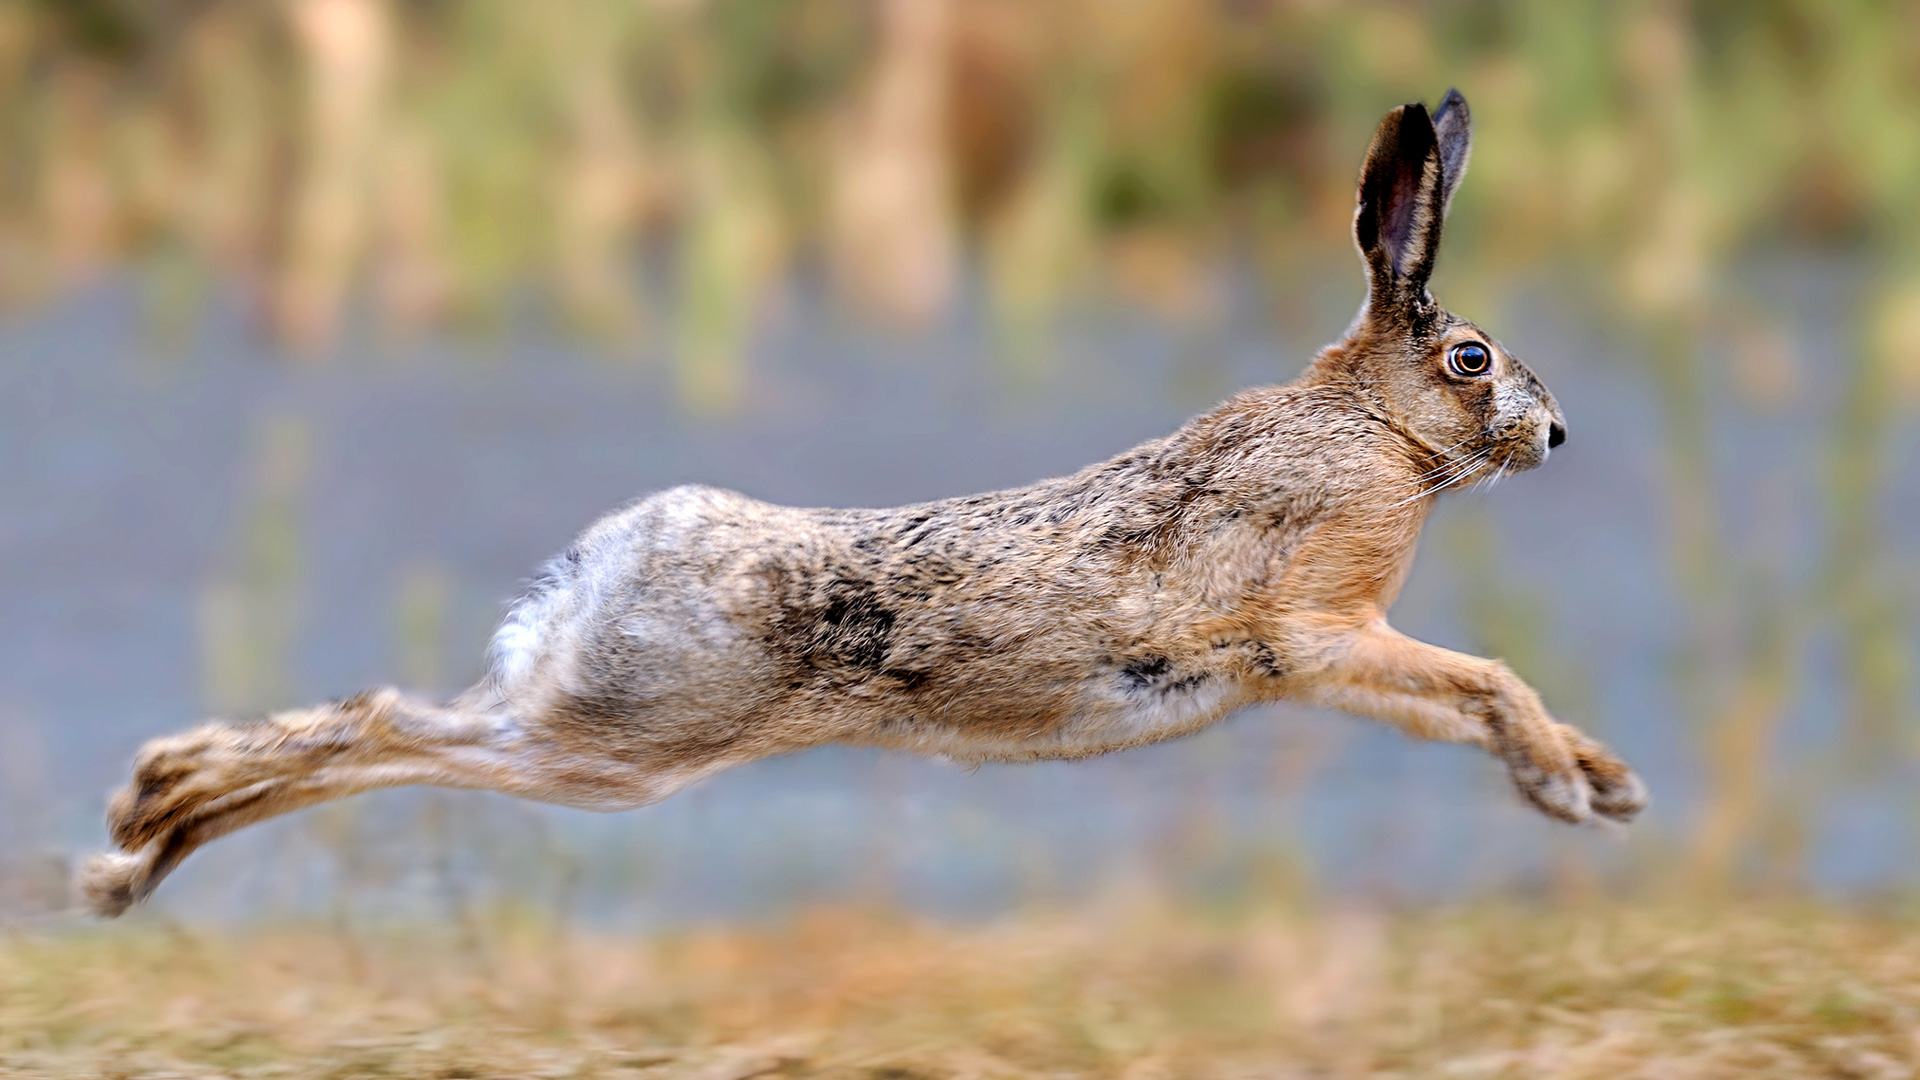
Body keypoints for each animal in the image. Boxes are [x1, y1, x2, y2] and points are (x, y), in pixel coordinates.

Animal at [80, 89, 1645, 918]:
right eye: (1470, 360)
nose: (1561, 433)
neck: (1367, 424)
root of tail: (603, 563)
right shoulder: (1316, 631)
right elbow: (1483, 680)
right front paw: (1570, 788)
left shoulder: (1327, 660)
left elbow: (1465, 698)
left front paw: (1604, 782)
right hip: (620, 742)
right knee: (399, 731)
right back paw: (138, 835)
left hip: (602, 730)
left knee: (397, 727)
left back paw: (145, 834)